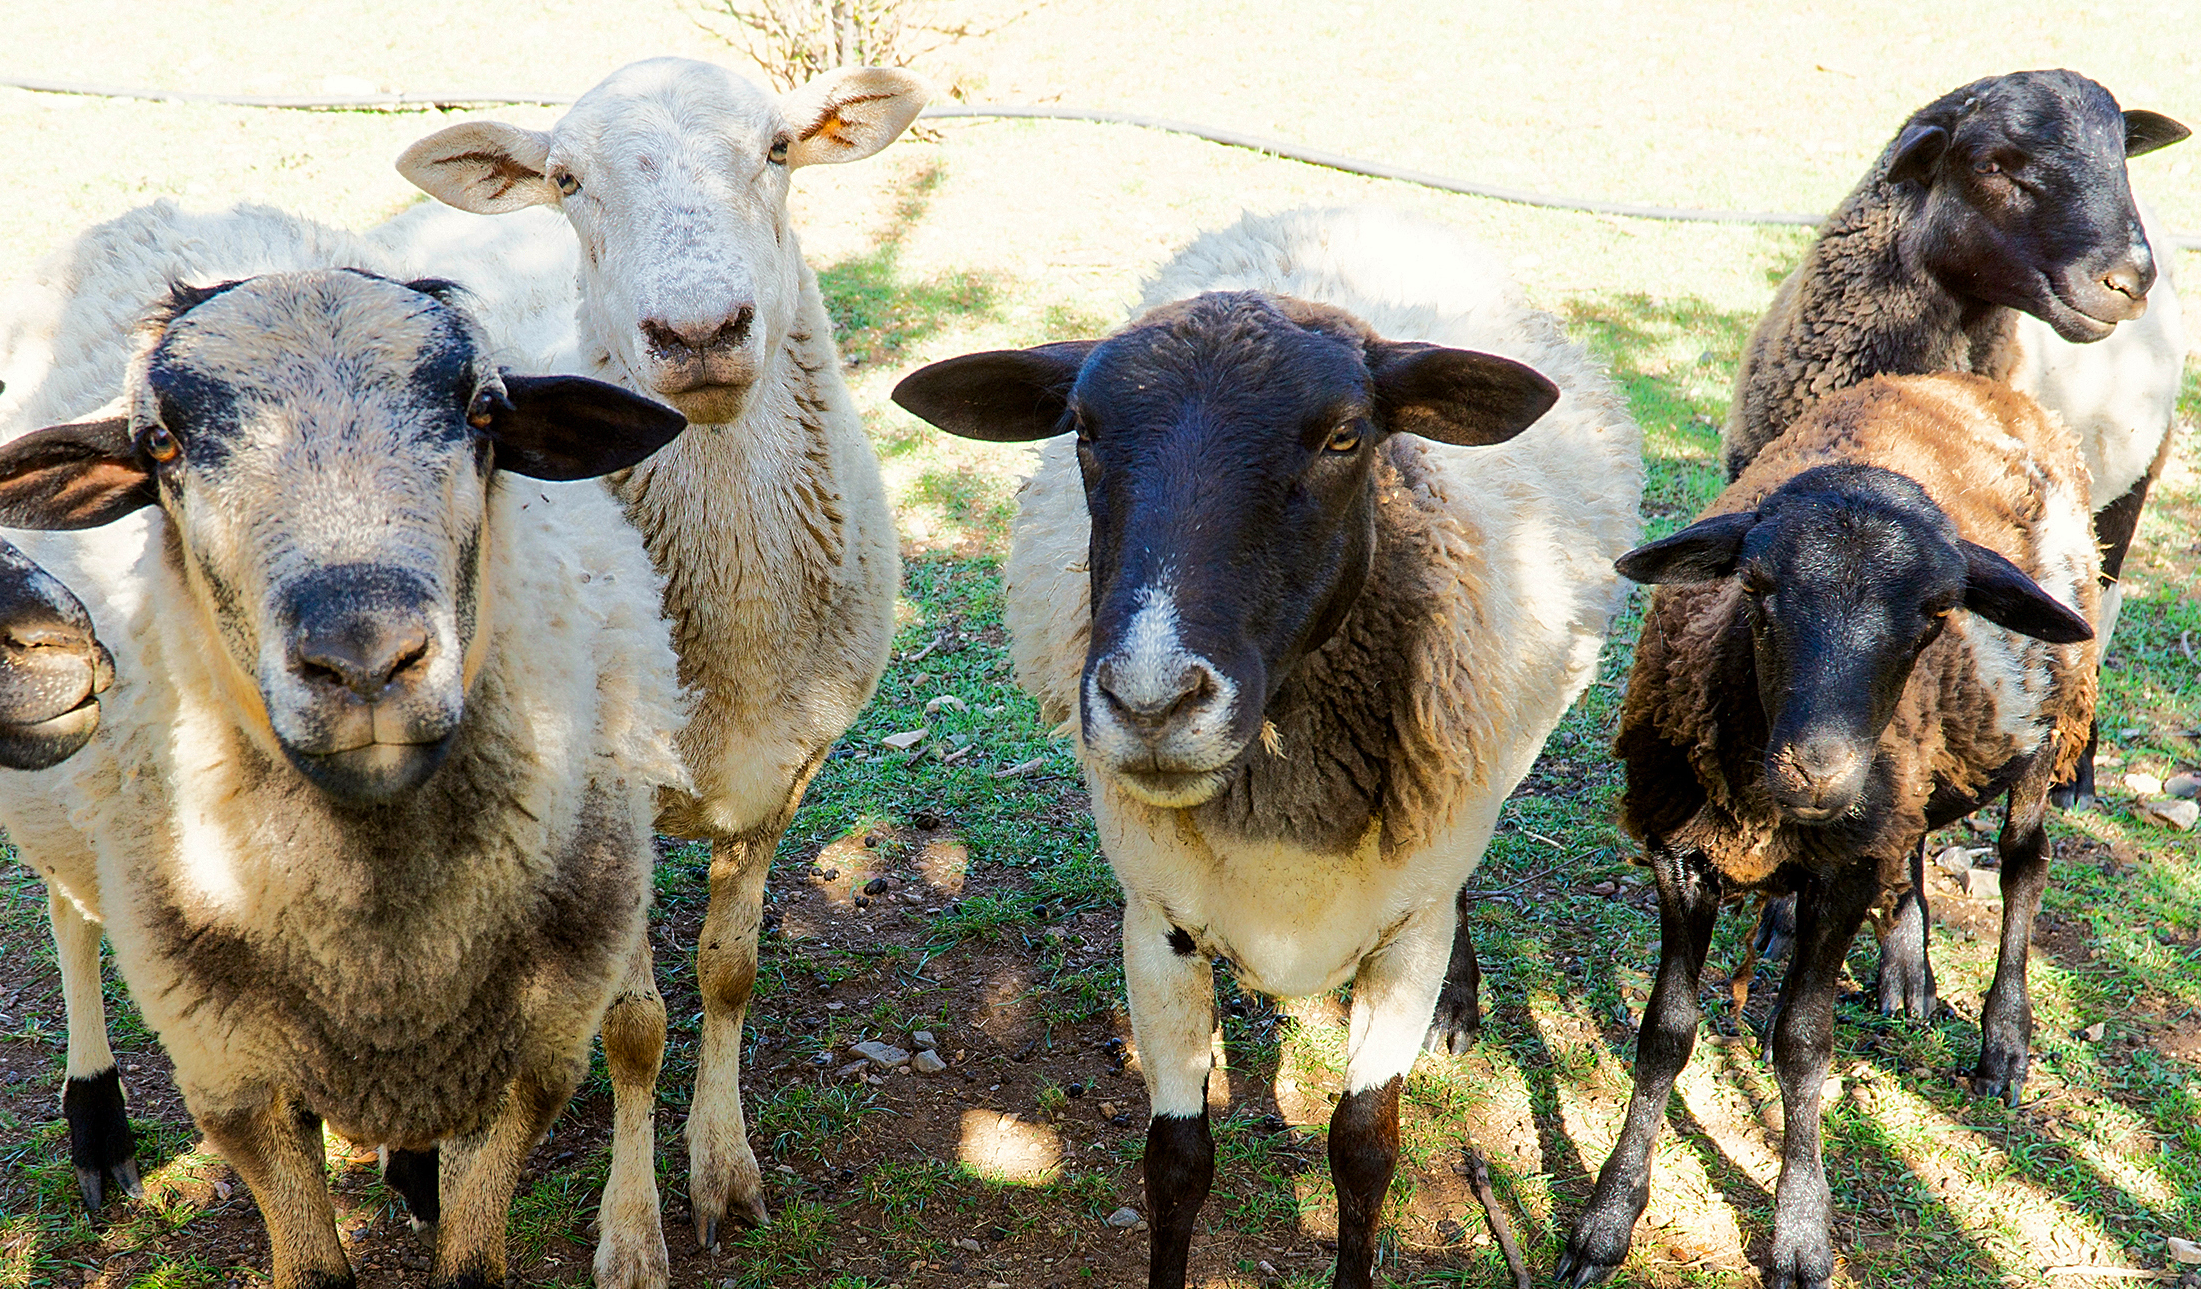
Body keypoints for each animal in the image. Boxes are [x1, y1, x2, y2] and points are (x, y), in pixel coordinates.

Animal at [0, 200, 686, 1284]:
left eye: (485, 411)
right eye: (159, 444)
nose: (364, 657)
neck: (388, 943)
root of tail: (160, 209)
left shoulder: (534, 1054)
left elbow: (472, 1257)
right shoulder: (232, 1078)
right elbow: (312, 1262)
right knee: (71, 916)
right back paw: (95, 1122)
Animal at [387, 60, 920, 1240]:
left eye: (778, 148)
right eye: (567, 179)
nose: (698, 329)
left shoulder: (788, 770)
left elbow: (729, 971)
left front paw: (722, 1167)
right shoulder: (608, 783)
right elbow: (632, 1025)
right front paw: (631, 1229)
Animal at [884, 205, 1646, 1275]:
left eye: (1345, 435)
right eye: (1083, 430)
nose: (1151, 701)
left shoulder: (1405, 934)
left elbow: (1364, 1152)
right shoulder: (1156, 922)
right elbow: (1175, 1163)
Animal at [1567, 369, 2095, 1284]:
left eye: (1936, 613)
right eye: (1754, 587)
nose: (1820, 770)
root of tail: (1973, 382)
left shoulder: (1842, 869)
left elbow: (1803, 1042)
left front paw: (1799, 1233)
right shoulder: (1680, 854)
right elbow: (1663, 1033)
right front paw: (1606, 1218)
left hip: (2047, 735)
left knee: (2023, 865)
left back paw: (2002, 1042)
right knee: (1912, 841)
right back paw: (1905, 972)